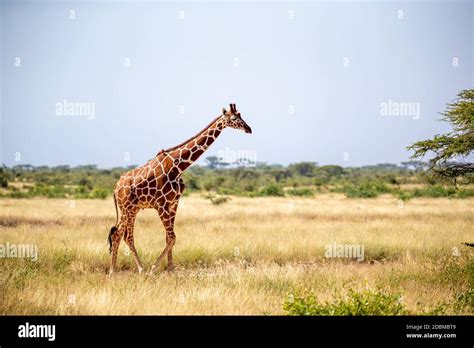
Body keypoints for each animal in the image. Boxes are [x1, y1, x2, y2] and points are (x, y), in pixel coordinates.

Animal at [108, 103, 252, 274]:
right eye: (235, 118)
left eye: (241, 115)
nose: (249, 129)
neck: (178, 166)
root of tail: (116, 187)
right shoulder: (161, 204)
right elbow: (172, 237)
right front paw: (154, 268)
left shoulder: (174, 203)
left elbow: (169, 237)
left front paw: (171, 269)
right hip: (126, 208)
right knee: (121, 235)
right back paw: (129, 270)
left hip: (132, 209)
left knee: (122, 234)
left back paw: (122, 270)